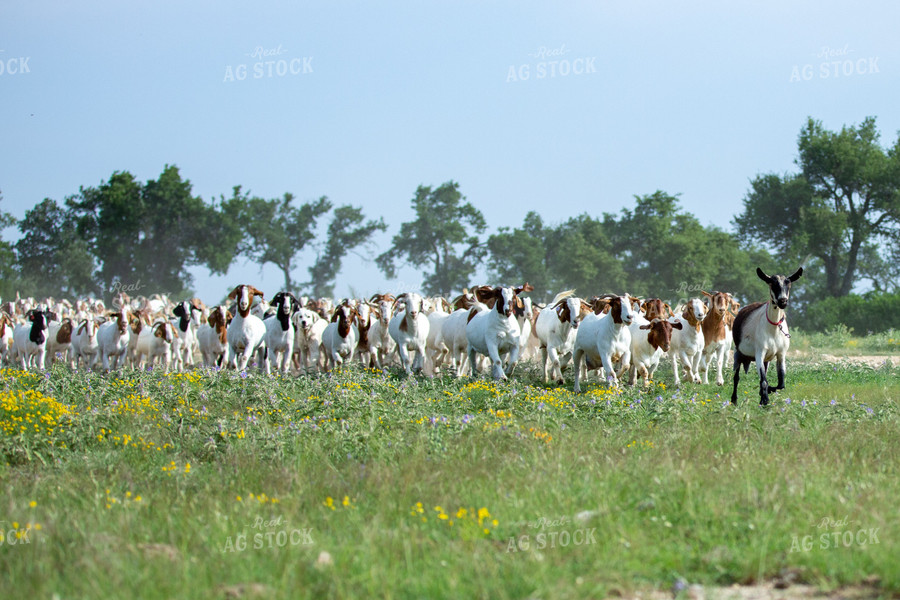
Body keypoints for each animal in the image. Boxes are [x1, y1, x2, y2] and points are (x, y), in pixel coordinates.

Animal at [728, 268, 804, 406]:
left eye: (788, 284)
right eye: (772, 283)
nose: (782, 301)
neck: (773, 330)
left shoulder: (781, 353)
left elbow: (781, 384)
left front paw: (765, 394)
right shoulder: (759, 352)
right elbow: (763, 381)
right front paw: (764, 400)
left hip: (766, 360)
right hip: (739, 353)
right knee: (736, 377)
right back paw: (734, 400)